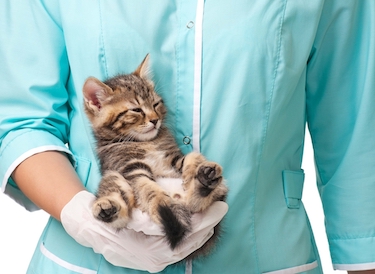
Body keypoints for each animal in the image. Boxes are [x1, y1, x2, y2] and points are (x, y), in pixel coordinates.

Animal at [83, 54, 228, 254]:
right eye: (136, 110)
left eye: (155, 104)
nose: (155, 120)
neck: (146, 142)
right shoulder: (129, 167)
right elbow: (147, 187)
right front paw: (162, 204)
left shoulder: (172, 159)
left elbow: (193, 156)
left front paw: (192, 171)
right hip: (112, 176)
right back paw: (108, 210)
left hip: (220, 189)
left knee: (199, 203)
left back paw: (204, 180)